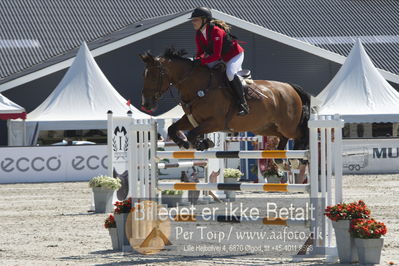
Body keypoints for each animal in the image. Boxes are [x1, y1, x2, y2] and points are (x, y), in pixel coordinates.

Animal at [141, 47, 312, 152]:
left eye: (153, 76)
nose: (146, 103)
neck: (199, 87)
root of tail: (290, 87)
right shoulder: (192, 119)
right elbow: (172, 128)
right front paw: (185, 143)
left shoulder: (215, 122)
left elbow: (192, 133)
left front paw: (202, 143)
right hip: (264, 127)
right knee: (283, 136)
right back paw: (280, 159)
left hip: (288, 125)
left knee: (302, 134)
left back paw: (300, 159)